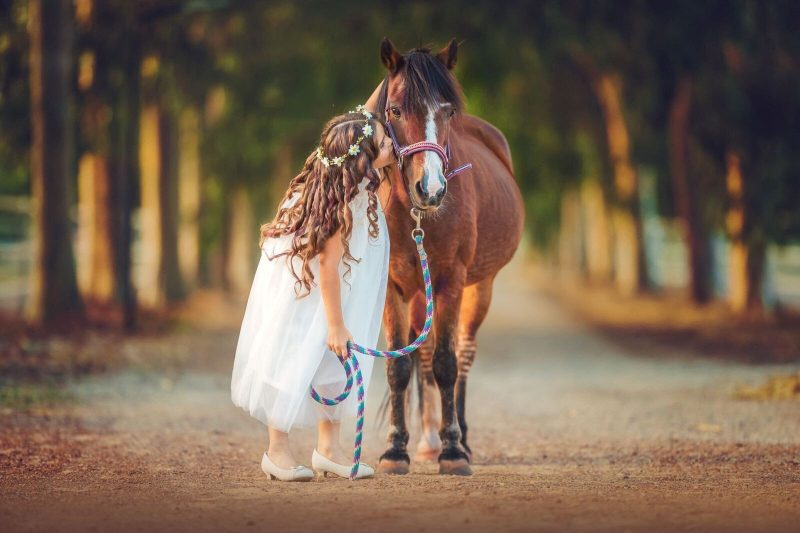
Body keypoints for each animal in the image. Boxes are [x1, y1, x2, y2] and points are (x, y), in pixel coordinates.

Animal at [364, 38, 524, 474]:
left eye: (448, 111)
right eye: (395, 110)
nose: (431, 189)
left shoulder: (452, 280)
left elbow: (446, 364)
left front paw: (453, 451)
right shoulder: (393, 287)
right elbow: (400, 366)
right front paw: (395, 450)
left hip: (478, 287)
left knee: (462, 355)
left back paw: (459, 439)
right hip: (421, 293)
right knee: (420, 356)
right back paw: (427, 441)